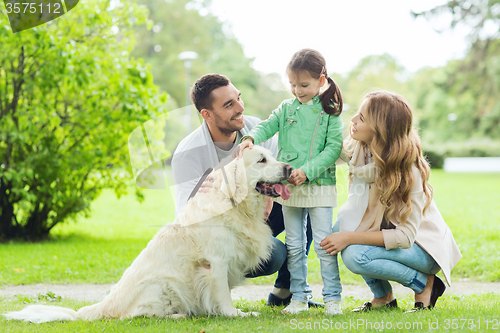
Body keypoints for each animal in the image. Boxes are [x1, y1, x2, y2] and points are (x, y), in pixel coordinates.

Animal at [3, 145, 292, 322]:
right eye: (261, 160)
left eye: (272, 156)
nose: (289, 168)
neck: (236, 205)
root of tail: (105, 305)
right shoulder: (216, 263)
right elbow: (222, 295)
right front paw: (236, 314)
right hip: (161, 285)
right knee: (135, 315)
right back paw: (178, 315)